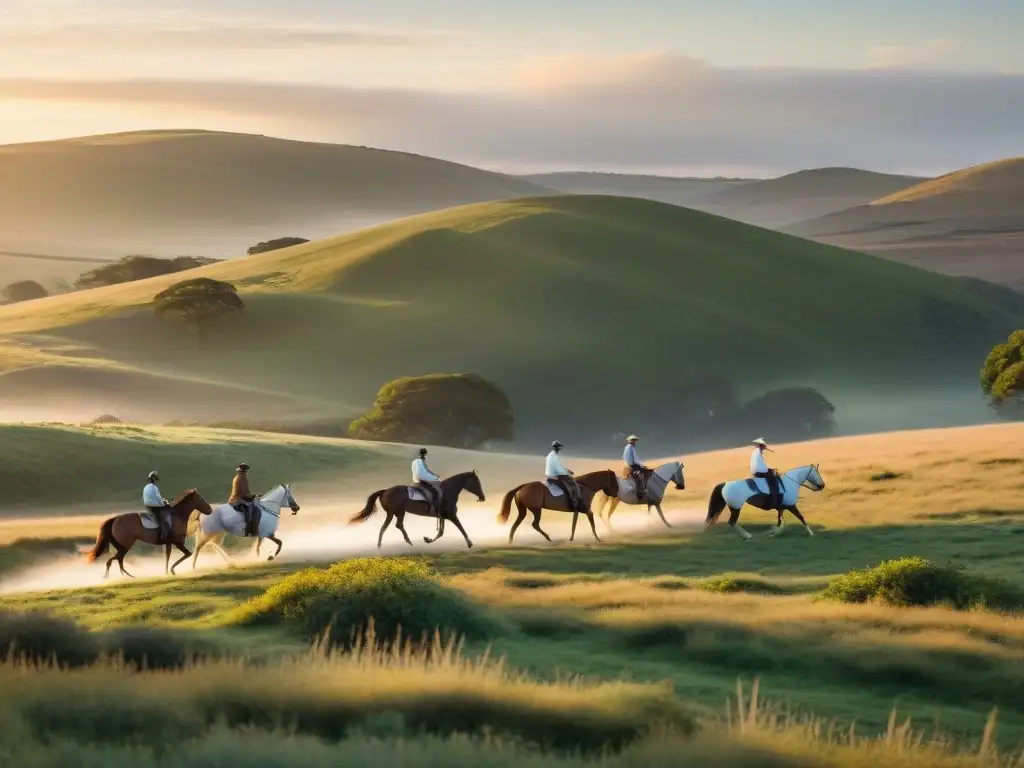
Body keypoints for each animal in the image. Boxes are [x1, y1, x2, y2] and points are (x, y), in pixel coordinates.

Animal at [348, 473, 483, 548]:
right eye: (477, 482)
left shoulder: (444, 516)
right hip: (394, 512)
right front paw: (470, 543)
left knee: (397, 525)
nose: (483, 497)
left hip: (398, 512)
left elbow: (441, 532)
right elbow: (460, 527)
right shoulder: (452, 515)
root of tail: (385, 491)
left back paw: (408, 542)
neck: (448, 491)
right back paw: (380, 546)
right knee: (386, 527)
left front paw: (427, 539)